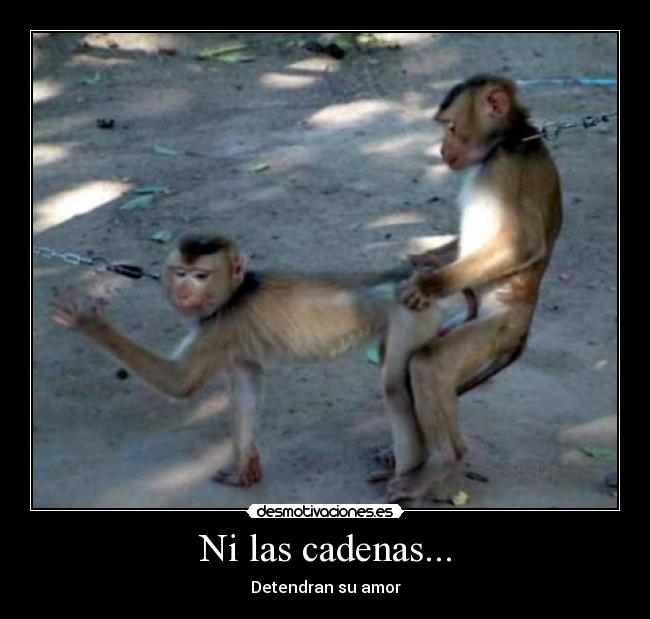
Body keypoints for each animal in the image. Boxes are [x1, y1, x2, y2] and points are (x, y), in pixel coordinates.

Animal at [53, 234, 456, 488]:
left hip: (410, 314)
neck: (236, 293)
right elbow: (247, 383)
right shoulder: (231, 340)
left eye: (201, 275)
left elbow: (180, 383)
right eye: (180, 273)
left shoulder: (220, 325)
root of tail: (409, 278)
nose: (184, 289)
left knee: (395, 388)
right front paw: (245, 468)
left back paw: (408, 475)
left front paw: (88, 321)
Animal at [380, 75, 563, 502]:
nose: (441, 149)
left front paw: (430, 283)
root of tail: (524, 332)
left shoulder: (508, 167)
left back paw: (445, 461)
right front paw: (424, 261)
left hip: (499, 329)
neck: (506, 141)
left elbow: (522, 244)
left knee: (429, 365)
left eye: (449, 127)